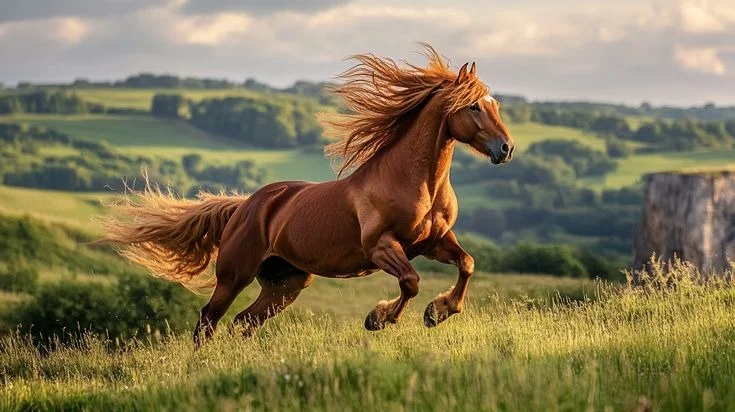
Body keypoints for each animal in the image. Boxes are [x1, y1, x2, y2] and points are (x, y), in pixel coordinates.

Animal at [102, 45, 515, 346]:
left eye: (495, 104)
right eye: (474, 106)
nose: (506, 148)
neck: (417, 183)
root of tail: (243, 207)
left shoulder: (434, 242)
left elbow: (467, 264)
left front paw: (438, 311)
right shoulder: (382, 246)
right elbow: (410, 282)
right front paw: (379, 318)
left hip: (287, 283)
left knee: (244, 321)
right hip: (234, 275)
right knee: (209, 319)